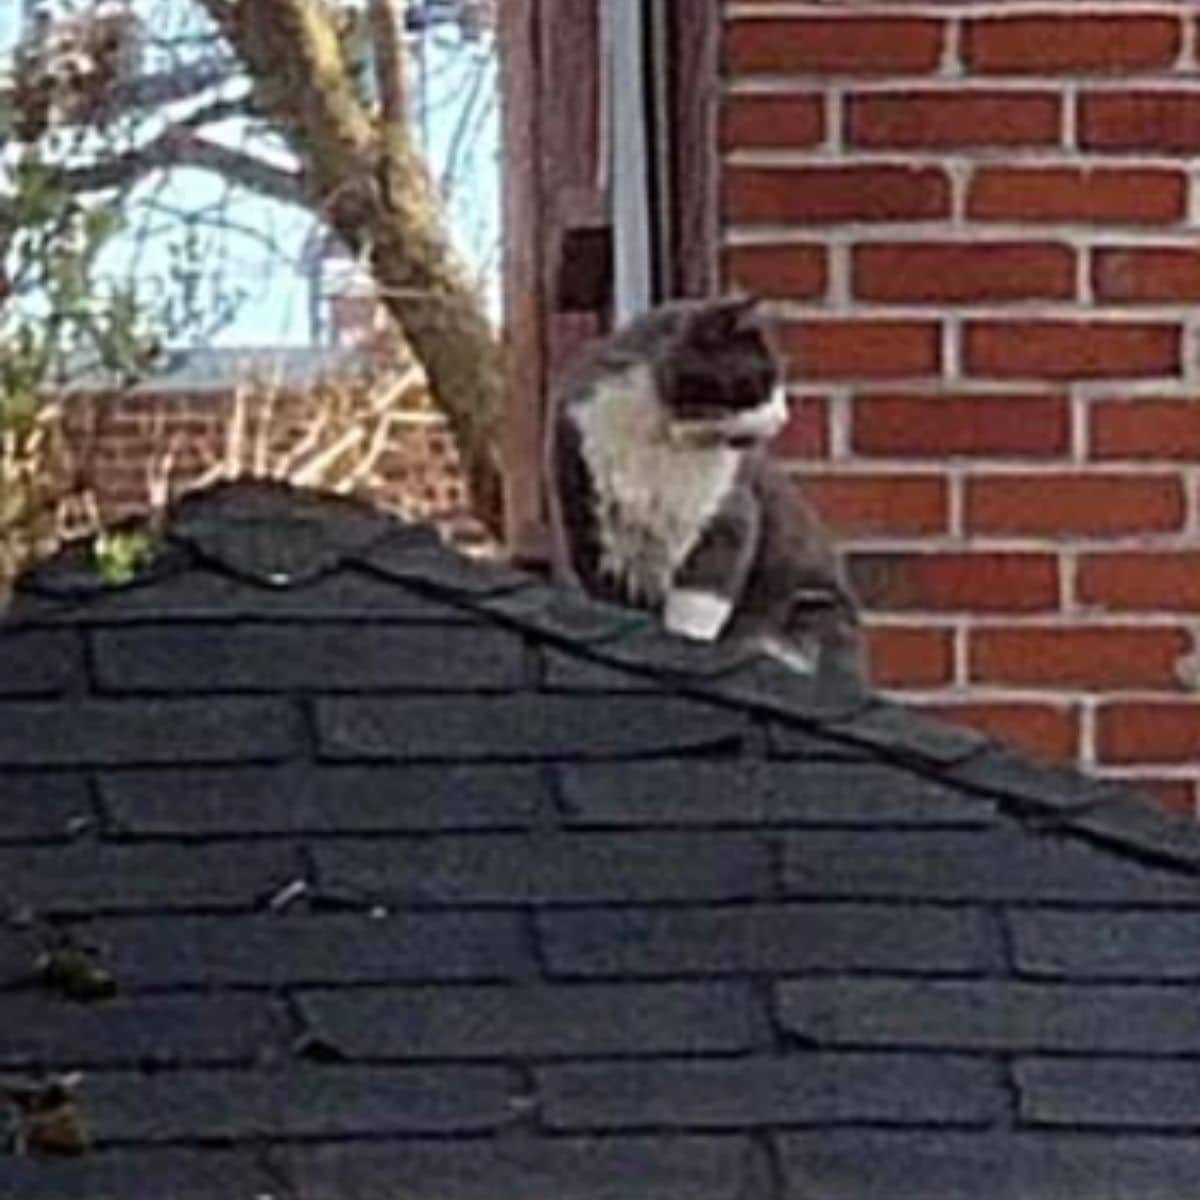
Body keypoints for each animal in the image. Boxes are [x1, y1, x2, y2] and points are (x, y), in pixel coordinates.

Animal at [544, 295, 864, 681]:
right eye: (763, 379)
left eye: (781, 384)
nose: (783, 417)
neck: (663, 441)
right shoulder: (590, 516)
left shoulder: (729, 516)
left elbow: (698, 602)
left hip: (813, 607)